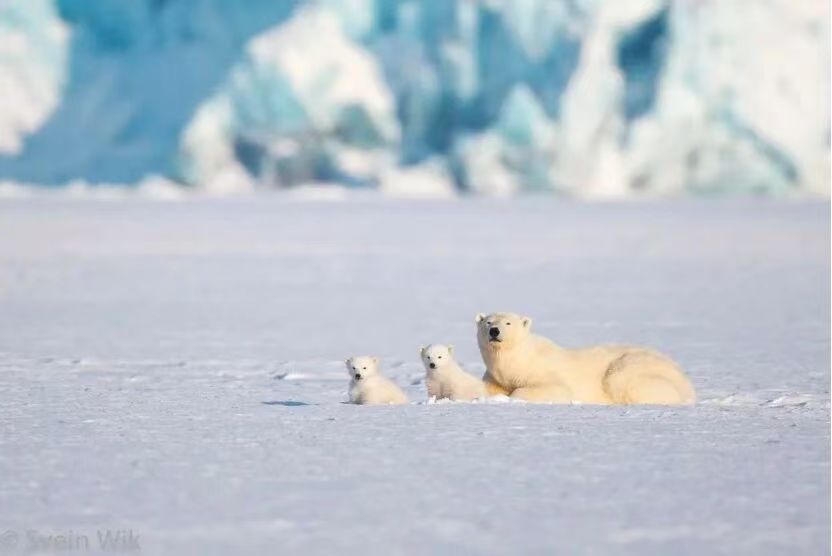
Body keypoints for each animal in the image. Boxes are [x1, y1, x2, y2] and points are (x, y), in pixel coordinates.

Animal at [476, 312, 695, 405]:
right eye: (488, 322)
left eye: (508, 322)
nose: (495, 331)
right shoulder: (495, 377)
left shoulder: (544, 371)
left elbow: (557, 389)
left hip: (633, 367)